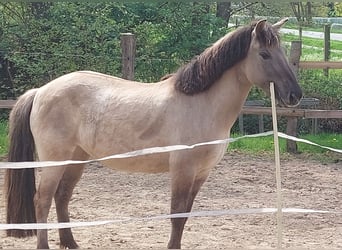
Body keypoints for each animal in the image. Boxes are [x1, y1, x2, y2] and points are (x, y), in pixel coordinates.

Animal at [4, 19, 300, 248]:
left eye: (283, 53)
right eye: (265, 55)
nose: (295, 95)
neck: (201, 104)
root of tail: (40, 91)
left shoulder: (201, 173)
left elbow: (185, 214)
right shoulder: (183, 169)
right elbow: (177, 215)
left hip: (77, 158)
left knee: (61, 196)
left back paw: (71, 243)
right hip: (54, 160)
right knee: (42, 200)